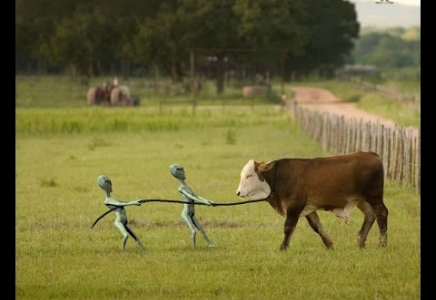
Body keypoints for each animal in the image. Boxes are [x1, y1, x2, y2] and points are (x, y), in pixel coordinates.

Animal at [235, 150, 388, 251]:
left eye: (249, 175)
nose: (238, 192)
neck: (279, 178)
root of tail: (371, 154)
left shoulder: (294, 206)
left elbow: (288, 227)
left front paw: (283, 247)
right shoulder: (308, 208)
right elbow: (316, 226)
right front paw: (329, 244)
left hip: (374, 196)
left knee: (381, 213)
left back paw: (382, 244)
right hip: (362, 199)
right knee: (370, 215)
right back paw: (361, 240)